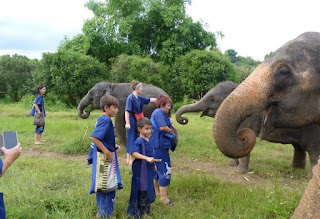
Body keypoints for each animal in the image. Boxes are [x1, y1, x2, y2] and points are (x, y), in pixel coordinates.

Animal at [175, 81, 320, 174]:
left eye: (211, 99)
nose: (184, 119)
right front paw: (231, 165)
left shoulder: (248, 118)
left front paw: (239, 172)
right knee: (299, 148)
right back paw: (293, 171)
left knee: (313, 151)